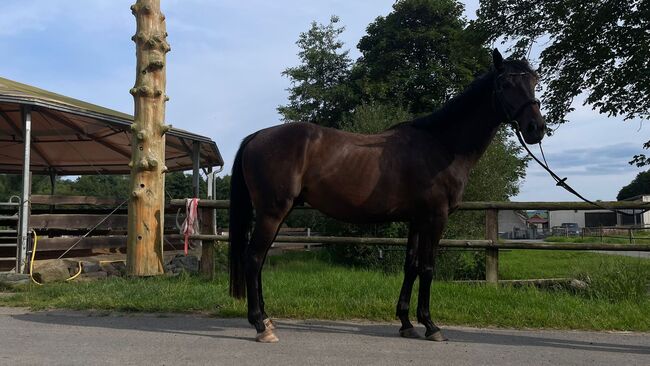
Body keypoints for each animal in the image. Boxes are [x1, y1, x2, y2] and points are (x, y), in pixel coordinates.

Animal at [228, 49, 540, 344]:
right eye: (505, 83)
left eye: (534, 81)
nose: (536, 128)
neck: (441, 145)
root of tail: (257, 136)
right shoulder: (435, 217)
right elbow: (428, 268)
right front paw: (431, 326)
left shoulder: (417, 220)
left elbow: (411, 266)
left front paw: (406, 323)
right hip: (272, 212)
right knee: (253, 258)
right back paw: (260, 326)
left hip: (279, 213)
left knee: (260, 260)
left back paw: (267, 319)